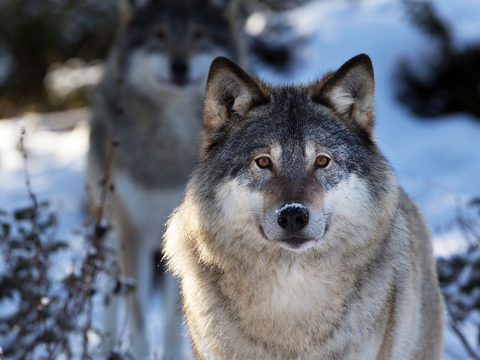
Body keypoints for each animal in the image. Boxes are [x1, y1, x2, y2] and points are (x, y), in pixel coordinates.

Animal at [86, 1, 246, 358]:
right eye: (158, 35)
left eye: (198, 35)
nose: (179, 65)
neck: (168, 148)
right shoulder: (130, 232)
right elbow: (138, 320)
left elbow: (177, 322)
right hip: (109, 230)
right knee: (109, 296)